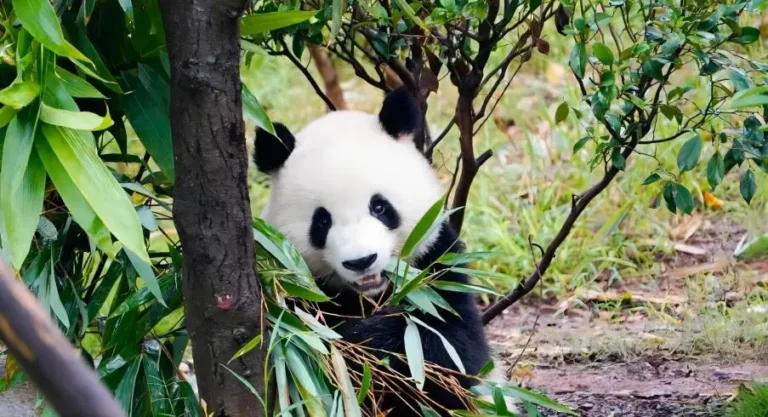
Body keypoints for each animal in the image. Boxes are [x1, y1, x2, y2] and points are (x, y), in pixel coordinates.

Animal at [253, 87, 508, 416]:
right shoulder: (292, 293)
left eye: (380, 207)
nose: (361, 261)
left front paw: (371, 338)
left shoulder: (435, 264)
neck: (370, 297)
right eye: (322, 221)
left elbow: (453, 351)